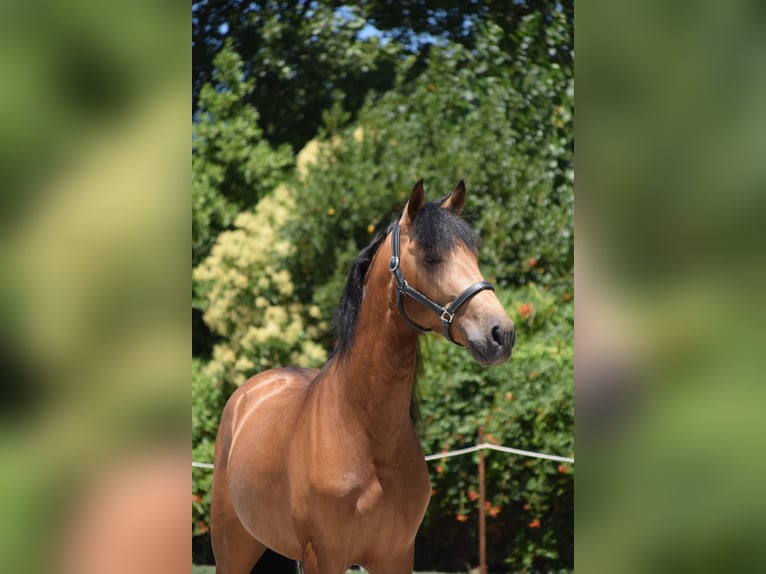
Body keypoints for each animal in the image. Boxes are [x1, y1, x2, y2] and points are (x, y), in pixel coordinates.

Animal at [210, 180, 516, 574]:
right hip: (233, 548)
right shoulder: (324, 556)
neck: (365, 430)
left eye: (474, 255)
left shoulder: (396, 555)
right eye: (432, 257)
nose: (501, 333)